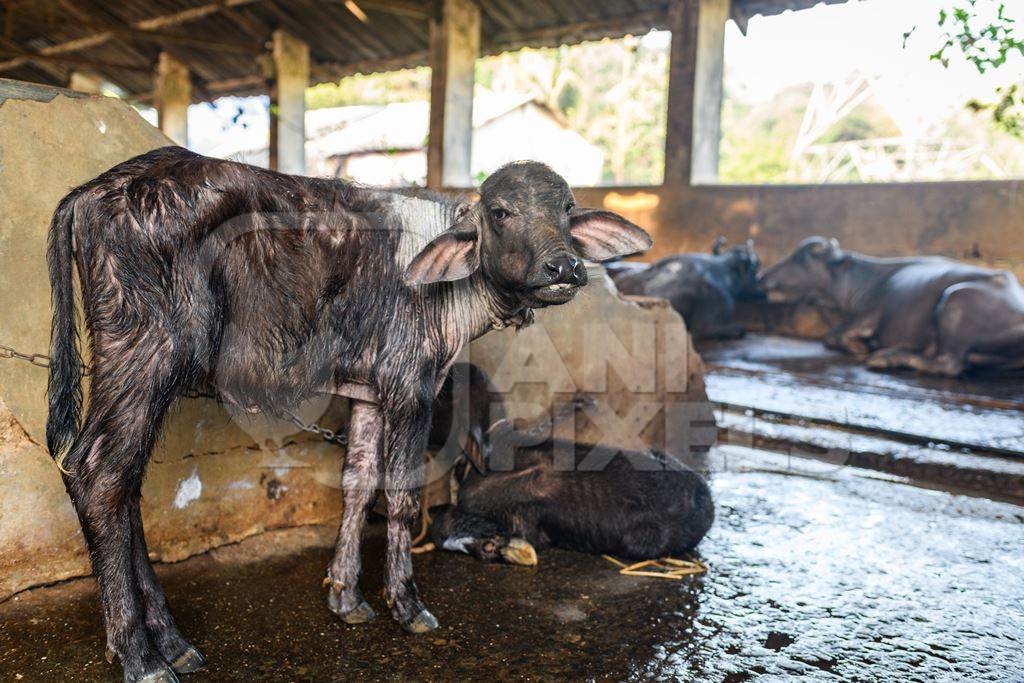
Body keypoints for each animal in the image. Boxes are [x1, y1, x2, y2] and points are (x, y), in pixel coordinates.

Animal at [46, 147, 647, 679]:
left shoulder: (369, 393)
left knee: (119, 484)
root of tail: (90, 193)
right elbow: (401, 494)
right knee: (100, 475)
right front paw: (406, 604)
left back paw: (172, 643)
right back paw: (140, 656)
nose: (564, 266)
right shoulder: (410, 386)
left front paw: (346, 596)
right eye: (501, 212)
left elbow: (358, 482)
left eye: (567, 208)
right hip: (145, 353)